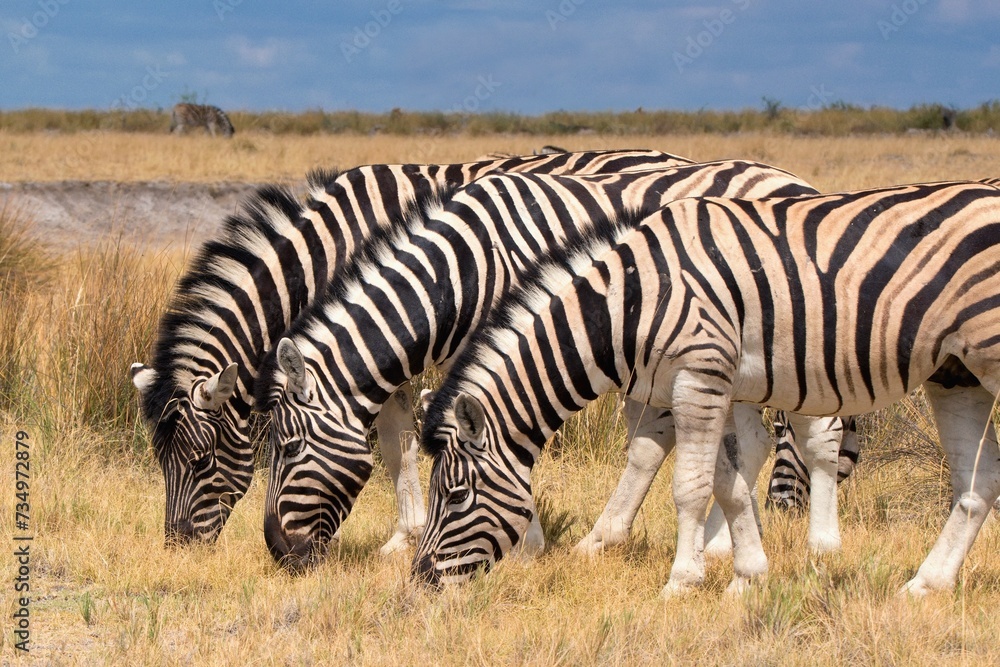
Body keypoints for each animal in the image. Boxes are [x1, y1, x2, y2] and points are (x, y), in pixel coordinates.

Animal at [129, 149, 693, 545]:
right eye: (161, 462)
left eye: (201, 461)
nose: (179, 547)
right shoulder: (383, 358)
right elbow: (397, 445)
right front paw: (406, 537)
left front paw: (523, 538)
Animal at [253, 161, 829, 570]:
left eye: (287, 446)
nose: (278, 552)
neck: (460, 270)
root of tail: (796, 180)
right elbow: (411, 441)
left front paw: (526, 544)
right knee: (748, 442)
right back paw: (715, 544)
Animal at [412, 179, 1000, 596]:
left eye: (456, 496)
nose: (421, 581)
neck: (630, 302)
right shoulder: (717, 386)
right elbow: (729, 483)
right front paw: (747, 577)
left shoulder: (699, 376)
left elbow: (690, 487)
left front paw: (681, 583)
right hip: (957, 374)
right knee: (979, 481)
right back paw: (926, 585)